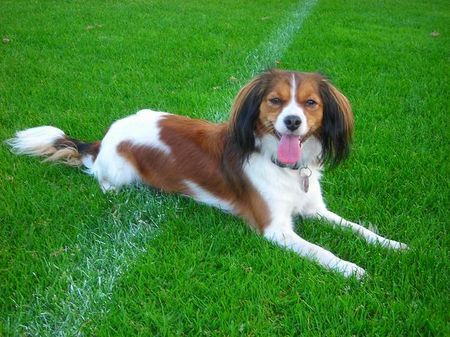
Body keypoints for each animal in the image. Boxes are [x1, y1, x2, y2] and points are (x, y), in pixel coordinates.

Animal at [7, 69, 408, 276]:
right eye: (275, 101)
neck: (285, 167)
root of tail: (104, 138)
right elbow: (320, 250)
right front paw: (350, 267)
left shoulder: (315, 209)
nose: (292, 122)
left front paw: (392, 244)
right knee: (100, 178)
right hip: (118, 173)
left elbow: (357, 228)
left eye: (311, 103)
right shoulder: (275, 229)